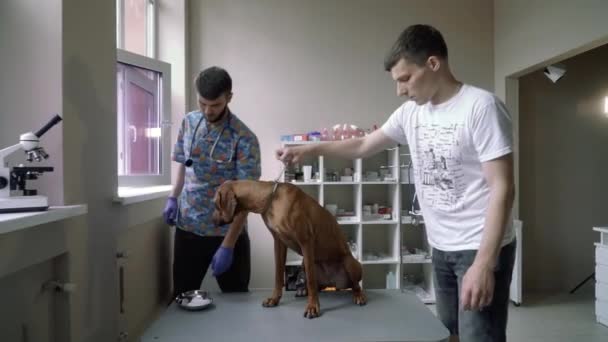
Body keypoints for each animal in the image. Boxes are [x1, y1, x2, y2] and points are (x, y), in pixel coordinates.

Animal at [214, 179, 366, 318]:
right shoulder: (279, 243)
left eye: (215, 204)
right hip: (304, 264)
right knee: (318, 285)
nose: (213, 221)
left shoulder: (306, 242)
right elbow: (278, 274)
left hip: (349, 263)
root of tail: (332, 283)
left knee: (354, 285)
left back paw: (358, 295)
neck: (272, 200)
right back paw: (303, 291)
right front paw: (274, 299)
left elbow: (311, 279)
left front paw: (312, 306)